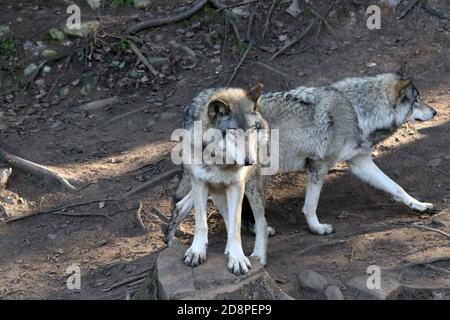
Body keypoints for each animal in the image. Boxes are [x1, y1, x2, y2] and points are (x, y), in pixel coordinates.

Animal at [170, 84, 270, 276]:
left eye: (252, 129)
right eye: (234, 132)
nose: (249, 161)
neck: (218, 161)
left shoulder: (237, 186)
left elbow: (236, 226)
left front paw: (238, 259)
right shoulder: (199, 183)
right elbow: (201, 223)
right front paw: (196, 251)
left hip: (251, 187)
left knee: (262, 222)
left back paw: (258, 255)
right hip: (215, 193)